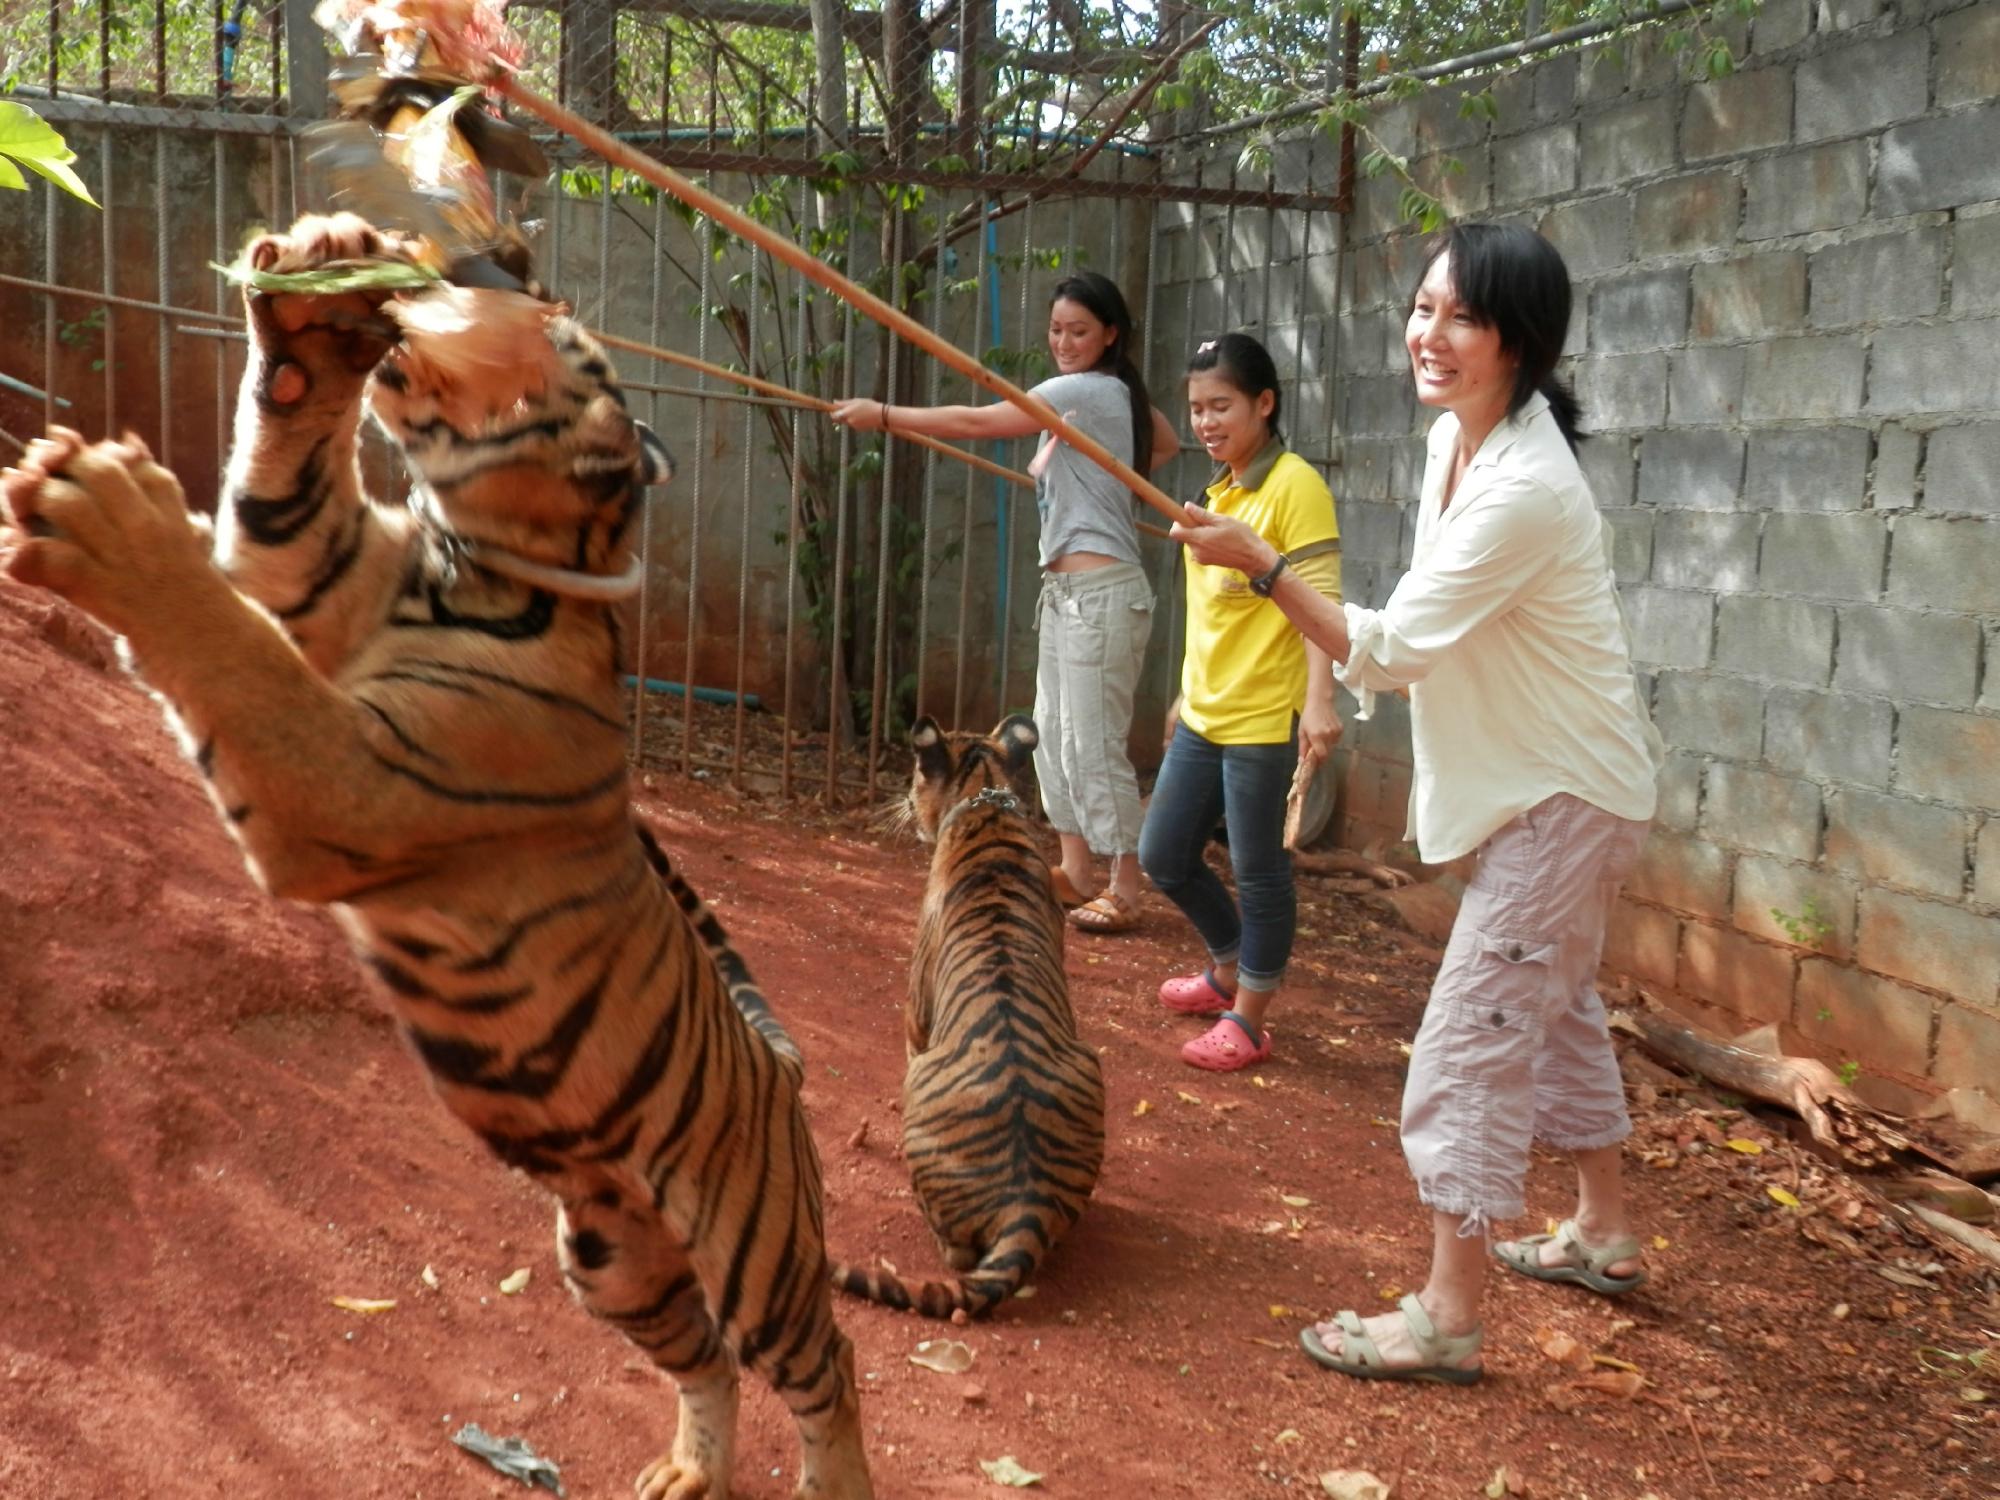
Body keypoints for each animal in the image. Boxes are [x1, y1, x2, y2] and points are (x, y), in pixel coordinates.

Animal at [1, 217, 876, 1500]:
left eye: (553, 329)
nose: (479, 263)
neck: (467, 558)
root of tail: (778, 1068)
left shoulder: (349, 778)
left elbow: (226, 642)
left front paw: (116, 513)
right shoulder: (309, 586)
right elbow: (274, 515)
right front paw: (317, 302)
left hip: (755, 1253)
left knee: (826, 1363)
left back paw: (830, 1478)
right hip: (611, 1255)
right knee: (703, 1357)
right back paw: (686, 1471)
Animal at [832, 724, 1112, 1320]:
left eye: (916, 772)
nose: (903, 796)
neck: (984, 796)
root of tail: (1027, 1203)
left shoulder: (915, 1016)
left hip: (922, 1084)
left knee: (956, 1254)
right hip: (1088, 1061)